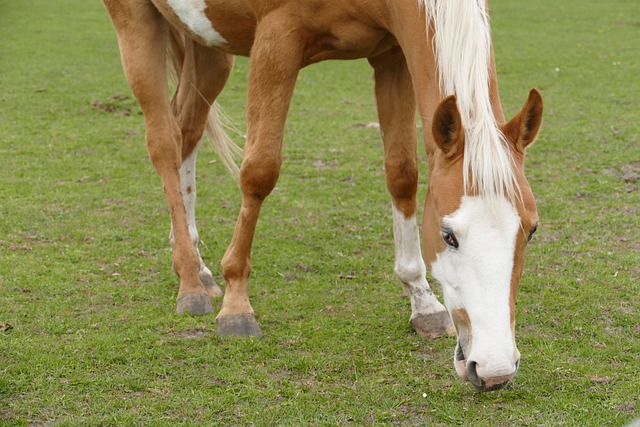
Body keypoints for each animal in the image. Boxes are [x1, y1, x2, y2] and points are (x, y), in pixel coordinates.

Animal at [102, 0, 544, 392]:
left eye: (531, 231)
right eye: (448, 234)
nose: (494, 369)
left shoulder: (392, 55)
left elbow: (402, 173)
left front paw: (422, 301)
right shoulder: (275, 41)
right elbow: (259, 171)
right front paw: (236, 304)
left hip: (208, 47)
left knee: (188, 128)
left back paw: (197, 262)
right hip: (137, 25)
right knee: (164, 142)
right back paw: (191, 281)